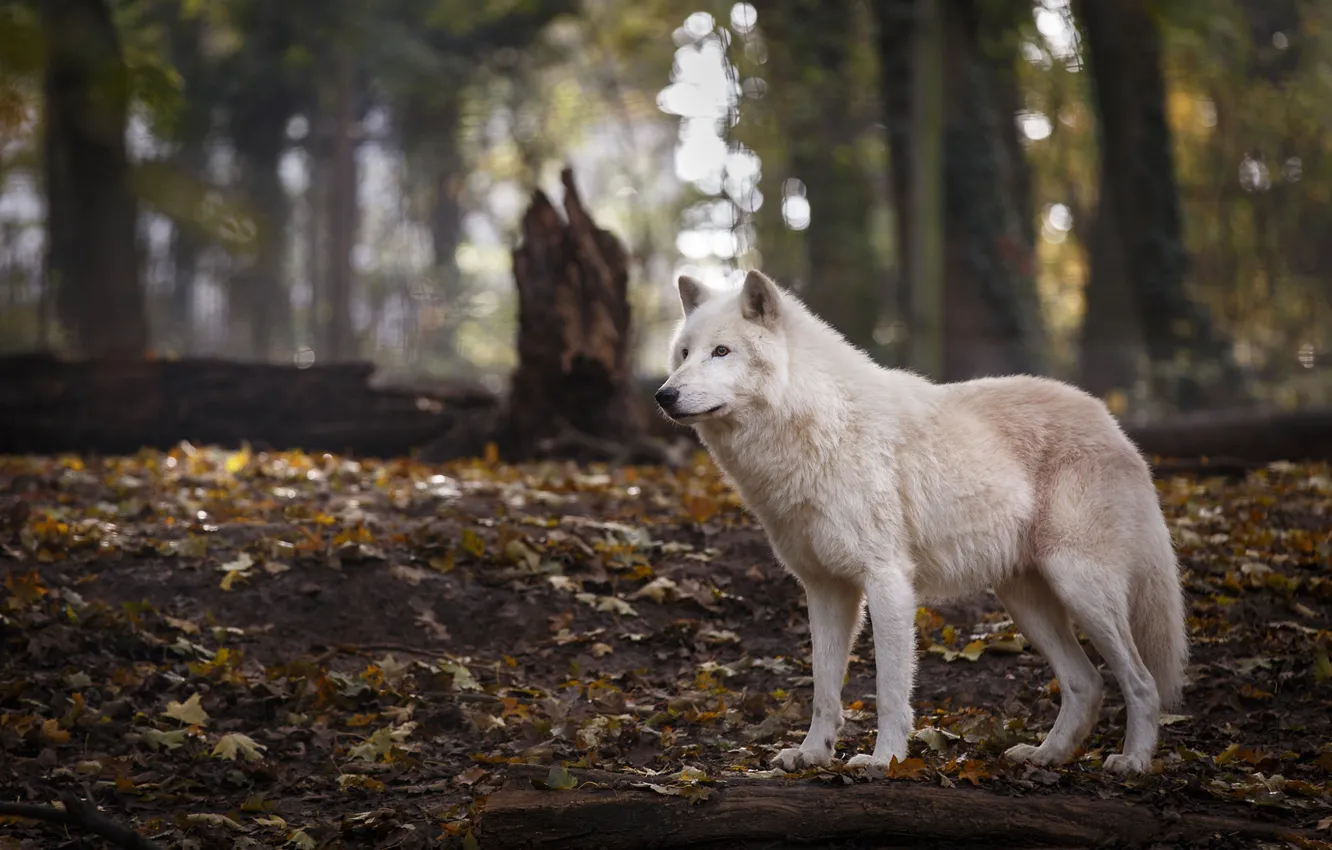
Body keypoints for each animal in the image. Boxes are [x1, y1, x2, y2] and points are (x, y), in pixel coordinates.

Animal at [655, 273, 1188, 778]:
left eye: (722, 351)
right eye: (683, 353)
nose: (664, 395)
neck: (821, 426)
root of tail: (1114, 426)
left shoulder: (888, 582)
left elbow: (890, 690)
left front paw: (884, 761)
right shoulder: (825, 589)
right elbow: (824, 690)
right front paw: (812, 755)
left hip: (1079, 587)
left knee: (1141, 683)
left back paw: (1133, 762)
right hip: (1026, 602)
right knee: (1087, 683)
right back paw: (1045, 756)